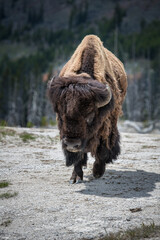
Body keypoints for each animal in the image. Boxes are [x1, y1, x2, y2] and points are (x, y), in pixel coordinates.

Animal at [48, 34, 127, 184]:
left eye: (90, 116)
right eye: (60, 115)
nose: (71, 144)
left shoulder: (106, 127)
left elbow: (102, 149)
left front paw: (97, 172)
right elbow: (79, 155)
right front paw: (75, 178)